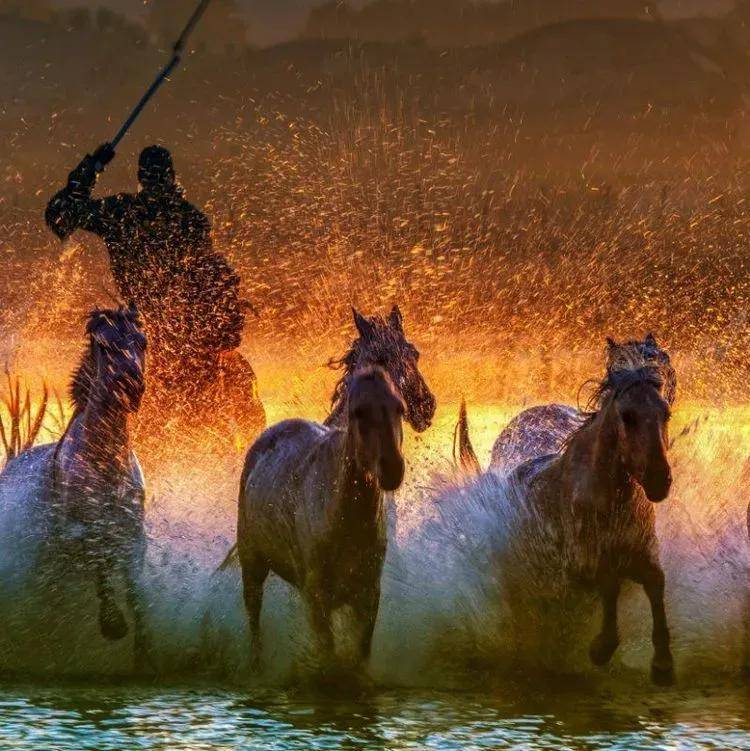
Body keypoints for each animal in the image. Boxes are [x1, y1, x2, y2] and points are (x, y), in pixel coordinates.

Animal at [0, 306, 151, 671]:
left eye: (142, 342)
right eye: (104, 346)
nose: (132, 389)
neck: (104, 462)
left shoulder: (133, 535)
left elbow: (136, 593)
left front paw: (144, 656)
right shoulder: (80, 532)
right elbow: (101, 566)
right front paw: (113, 625)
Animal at [235, 367, 406, 671]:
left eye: (399, 407)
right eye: (358, 412)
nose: (392, 469)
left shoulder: (368, 595)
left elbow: (359, 653)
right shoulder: (317, 599)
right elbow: (328, 653)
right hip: (252, 565)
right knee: (254, 617)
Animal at [500, 366, 674, 684]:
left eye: (665, 413)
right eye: (627, 416)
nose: (659, 480)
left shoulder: (642, 553)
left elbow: (656, 582)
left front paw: (663, 664)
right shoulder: (582, 561)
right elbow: (609, 581)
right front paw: (602, 648)